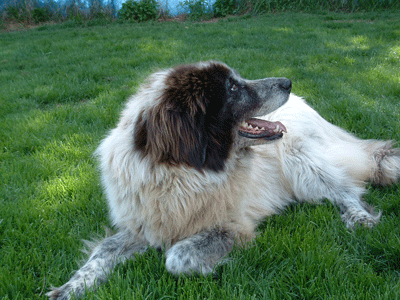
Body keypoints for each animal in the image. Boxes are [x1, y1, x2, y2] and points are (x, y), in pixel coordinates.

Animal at [47, 60, 400, 298]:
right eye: (232, 88)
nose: (288, 82)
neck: (181, 172)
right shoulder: (142, 224)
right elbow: (102, 253)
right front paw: (72, 286)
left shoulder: (231, 226)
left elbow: (176, 258)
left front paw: (218, 265)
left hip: (303, 164)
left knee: (346, 190)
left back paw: (359, 218)